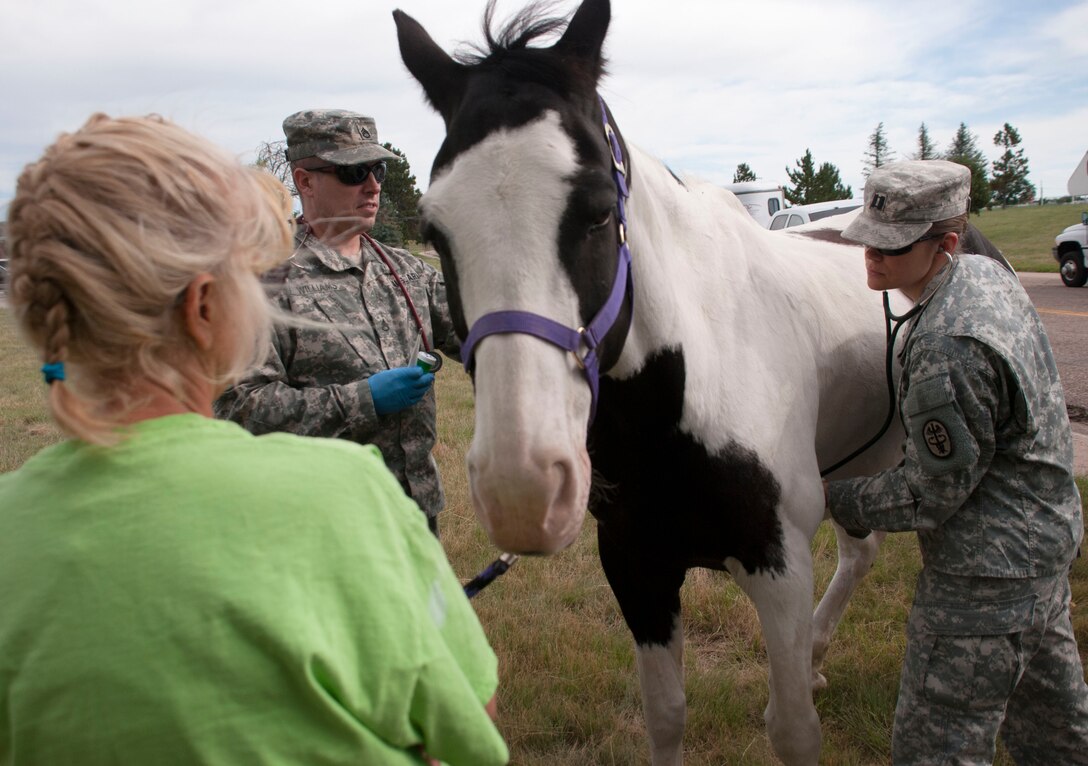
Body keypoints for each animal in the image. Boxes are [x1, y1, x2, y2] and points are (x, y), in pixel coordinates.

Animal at [395, 2, 908, 762]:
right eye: (434, 230)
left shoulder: (779, 565)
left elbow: (791, 729)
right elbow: (665, 714)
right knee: (862, 550)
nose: (521, 489)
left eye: (599, 210)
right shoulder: (636, 565)